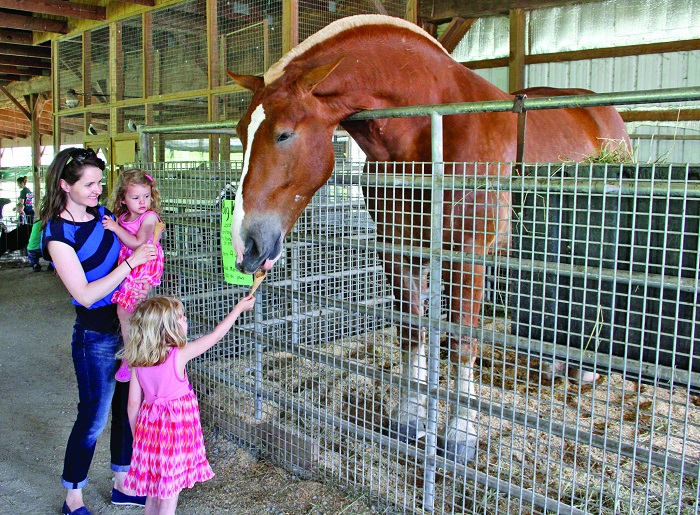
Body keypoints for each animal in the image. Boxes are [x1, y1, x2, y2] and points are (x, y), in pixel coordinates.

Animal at [227, 14, 632, 462]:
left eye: (283, 134)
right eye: (241, 133)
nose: (246, 245)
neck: (431, 129)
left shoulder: (468, 257)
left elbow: (462, 345)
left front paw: (460, 434)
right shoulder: (398, 252)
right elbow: (412, 334)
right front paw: (410, 419)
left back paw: (585, 369)